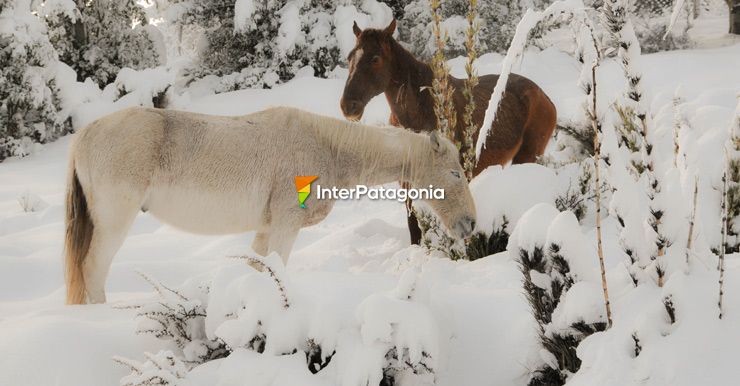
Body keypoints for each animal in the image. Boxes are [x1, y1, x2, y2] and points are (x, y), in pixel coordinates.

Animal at [66, 106, 476, 304]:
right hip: (115, 221)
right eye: (455, 173)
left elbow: (256, 270)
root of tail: (84, 134)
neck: (327, 148)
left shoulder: (265, 229)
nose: (471, 224)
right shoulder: (284, 226)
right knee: (93, 269)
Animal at [342, 18, 556, 244]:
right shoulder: (407, 181)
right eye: (350, 57)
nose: (348, 106)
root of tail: (544, 97)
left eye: (375, 58)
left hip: (528, 155)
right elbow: (413, 224)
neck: (421, 109)